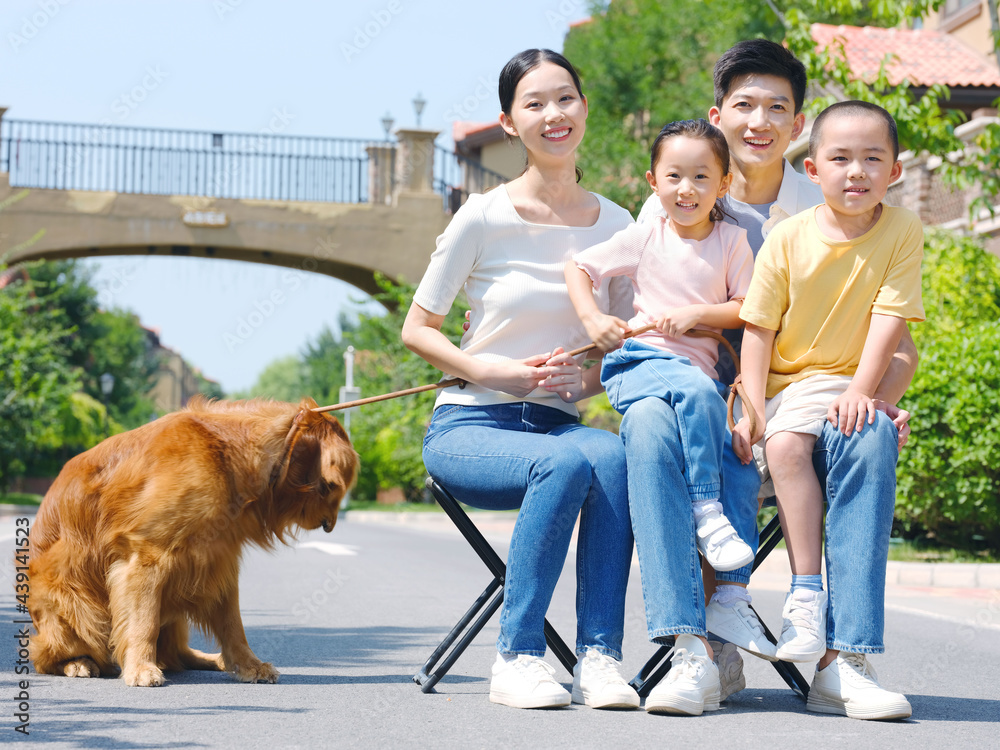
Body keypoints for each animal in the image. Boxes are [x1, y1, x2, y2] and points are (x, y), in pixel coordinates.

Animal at [26, 400, 360, 688]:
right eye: (335, 487)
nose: (331, 525)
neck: (225, 453)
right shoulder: (147, 557)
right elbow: (143, 622)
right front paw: (141, 668)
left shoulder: (219, 562)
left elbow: (233, 626)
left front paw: (248, 665)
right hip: (73, 604)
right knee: (44, 657)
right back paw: (78, 663)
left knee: (179, 654)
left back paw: (214, 660)